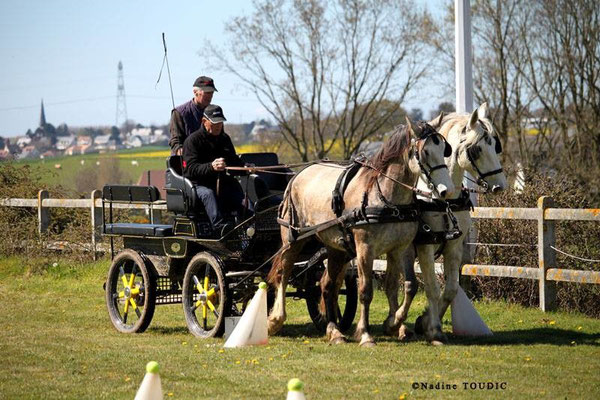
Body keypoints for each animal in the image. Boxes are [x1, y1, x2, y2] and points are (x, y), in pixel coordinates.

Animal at [384, 103, 506, 344]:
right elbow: (429, 286)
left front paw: (425, 321)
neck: (444, 201)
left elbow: (450, 289)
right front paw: (434, 330)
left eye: (495, 146)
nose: (500, 185)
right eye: (477, 149)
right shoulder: (424, 246)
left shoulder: (454, 246)